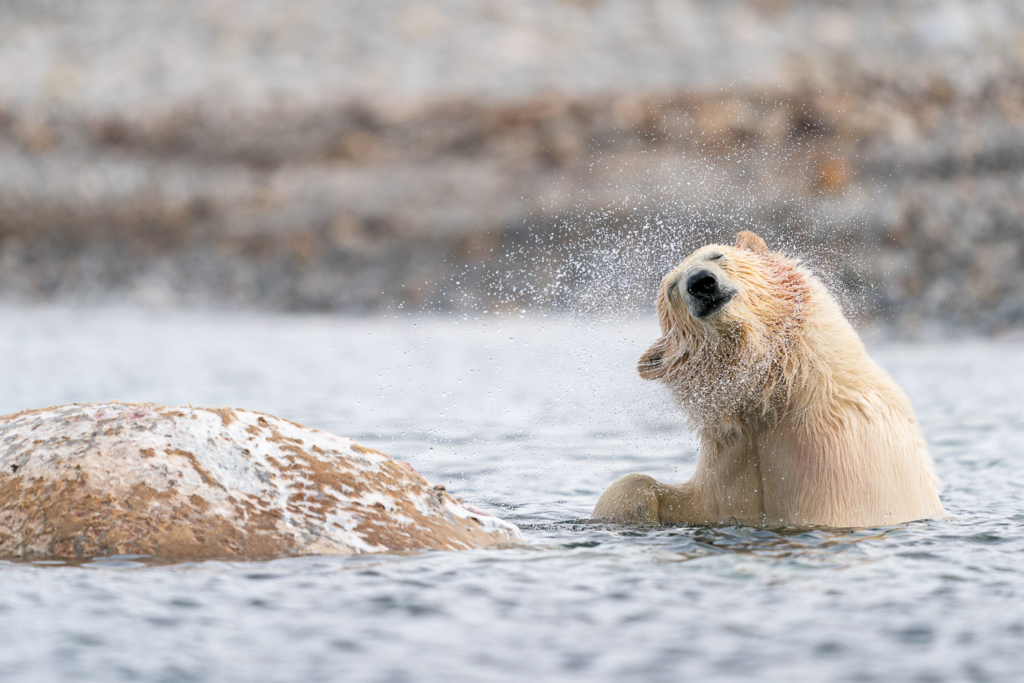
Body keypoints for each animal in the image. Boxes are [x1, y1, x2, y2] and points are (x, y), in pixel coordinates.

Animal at [593, 231, 942, 528]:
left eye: (717, 255)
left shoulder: (845, 462)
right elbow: (686, 499)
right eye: (671, 288)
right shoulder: (731, 457)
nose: (701, 282)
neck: (783, 395)